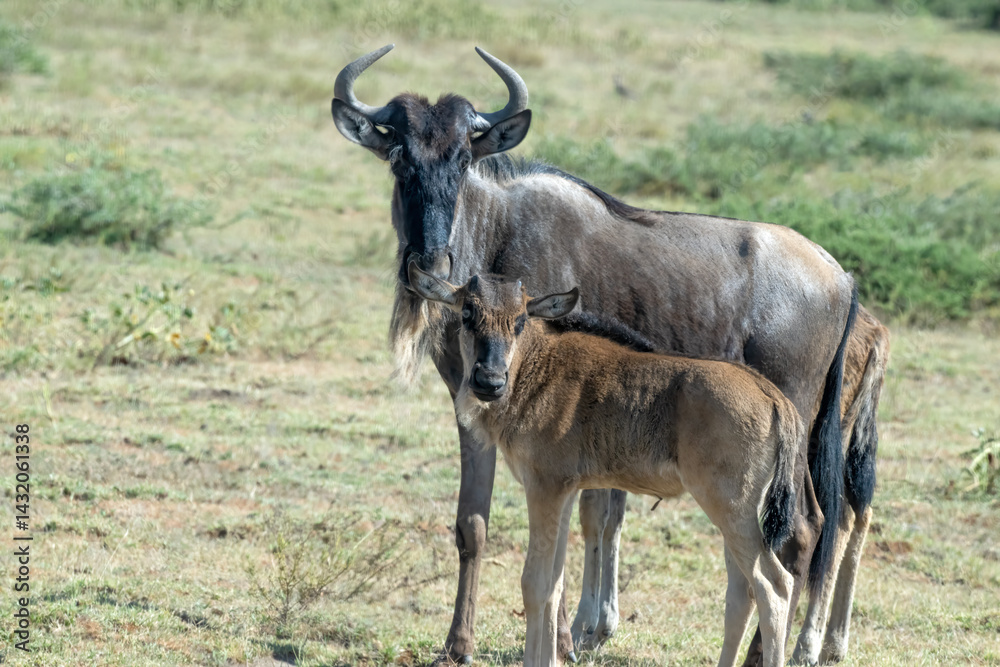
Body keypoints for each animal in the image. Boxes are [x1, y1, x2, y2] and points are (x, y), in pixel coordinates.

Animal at [407, 264, 830, 667]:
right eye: (467, 313)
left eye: (520, 320)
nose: (489, 382)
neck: (537, 367)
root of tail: (773, 396)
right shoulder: (563, 493)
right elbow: (555, 586)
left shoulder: (544, 488)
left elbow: (535, 585)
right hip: (736, 516)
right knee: (741, 594)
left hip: (731, 510)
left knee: (774, 586)